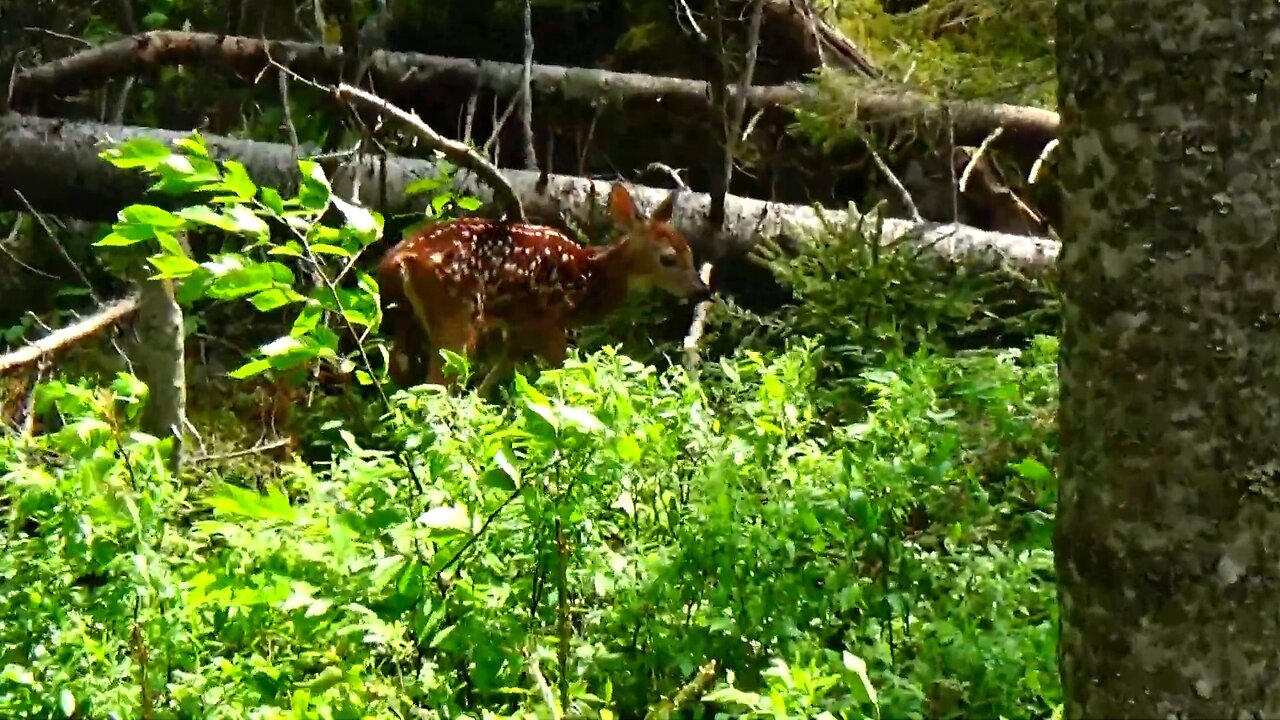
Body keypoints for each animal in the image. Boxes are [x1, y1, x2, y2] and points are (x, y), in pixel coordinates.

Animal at [376, 182, 711, 395]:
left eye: (690, 252)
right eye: (668, 259)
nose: (703, 292)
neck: (588, 278)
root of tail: (398, 261)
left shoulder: (520, 329)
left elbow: (489, 384)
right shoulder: (550, 323)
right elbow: (564, 373)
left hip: (408, 317)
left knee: (398, 373)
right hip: (457, 314)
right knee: (437, 384)